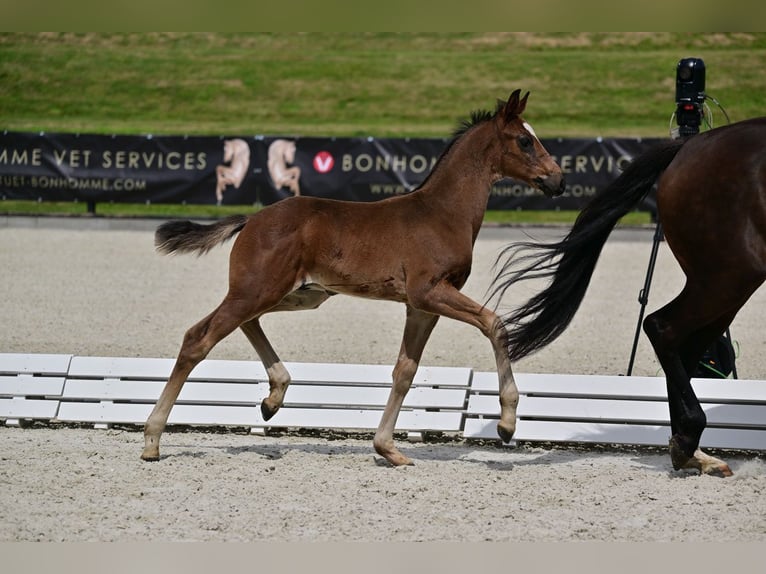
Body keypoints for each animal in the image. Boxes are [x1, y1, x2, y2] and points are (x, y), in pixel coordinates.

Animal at [141, 90, 568, 468]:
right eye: (525, 140)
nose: (558, 181)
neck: (442, 212)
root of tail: (252, 219)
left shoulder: (421, 306)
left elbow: (405, 371)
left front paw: (388, 449)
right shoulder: (429, 292)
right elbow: (494, 324)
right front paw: (507, 423)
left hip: (297, 294)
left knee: (244, 322)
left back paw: (273, 397)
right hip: (258, 289)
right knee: (199, 338)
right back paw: (152, 440)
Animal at [492, 116, 766, 476]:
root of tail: (690, 145)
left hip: (726, 283)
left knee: (683, 345)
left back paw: (689, 448)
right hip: (729, 275)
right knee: (662, 327)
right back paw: (689, 439)